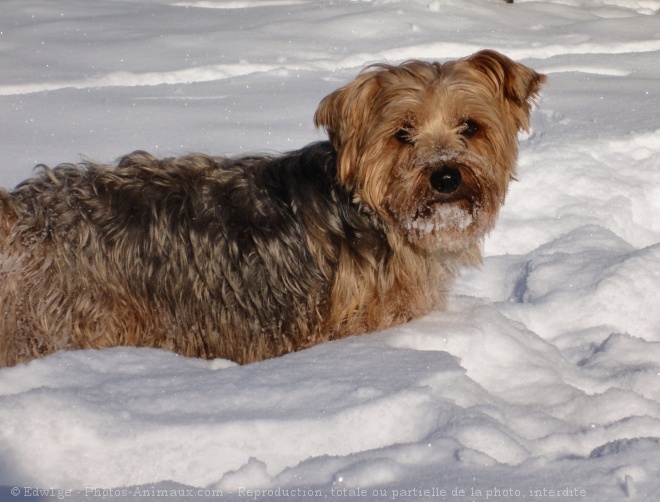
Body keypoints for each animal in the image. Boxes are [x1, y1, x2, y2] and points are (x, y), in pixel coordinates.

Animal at [0, 50, 548, 364]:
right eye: (402, 133)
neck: (375, 215)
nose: (446, 175)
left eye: (470, 127)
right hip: (68, 320)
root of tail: (23, 210)